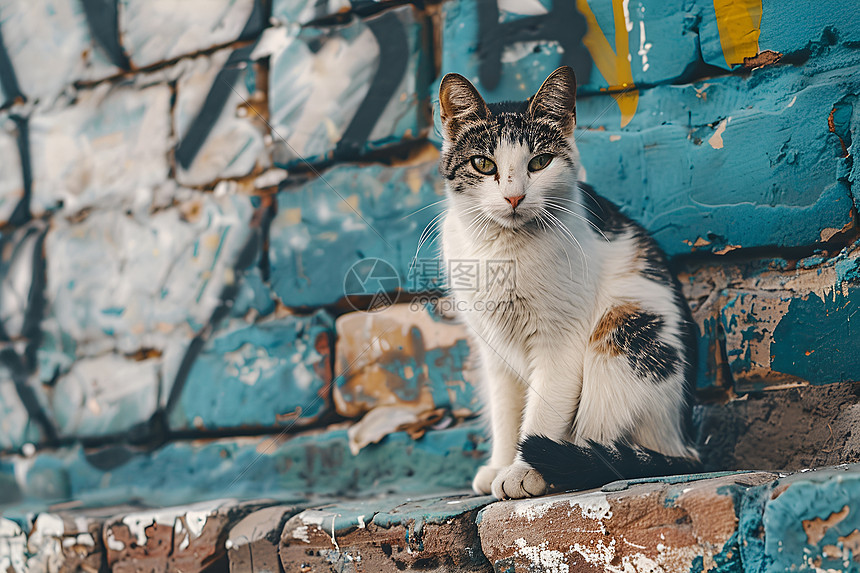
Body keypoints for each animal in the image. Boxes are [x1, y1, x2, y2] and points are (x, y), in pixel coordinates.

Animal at [436, 65, 700, 498]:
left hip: (623, 333)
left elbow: (542, 412)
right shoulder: (491, 347)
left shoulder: (560, 339)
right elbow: (505, 410)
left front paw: (522, 471)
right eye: (483, 165)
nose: (513, 197)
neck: (503, 250)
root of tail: (685, 443)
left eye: (540, 162)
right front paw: (500, 464)